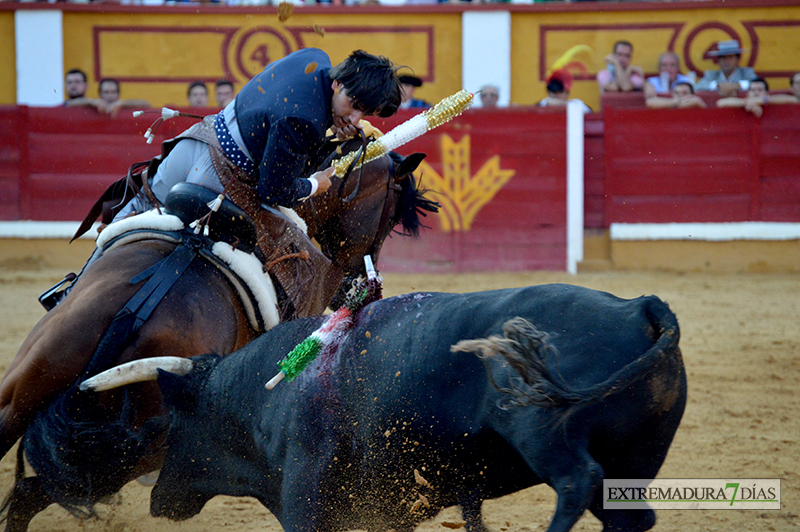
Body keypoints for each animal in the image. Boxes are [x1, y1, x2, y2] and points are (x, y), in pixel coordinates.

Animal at [0, 141, 434, 532]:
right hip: (144, 447)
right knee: (30, 494)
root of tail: (133, 309)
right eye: (389, 219)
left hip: (26, 386)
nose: (360, 284)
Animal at [141, 284, 684, 532]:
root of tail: (639, 306)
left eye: (172, 429)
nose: (156, 500)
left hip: (539, 430)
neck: (268, 393)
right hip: (636, 457)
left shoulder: (303, 490)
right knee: (627, 514)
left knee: (576, 482)